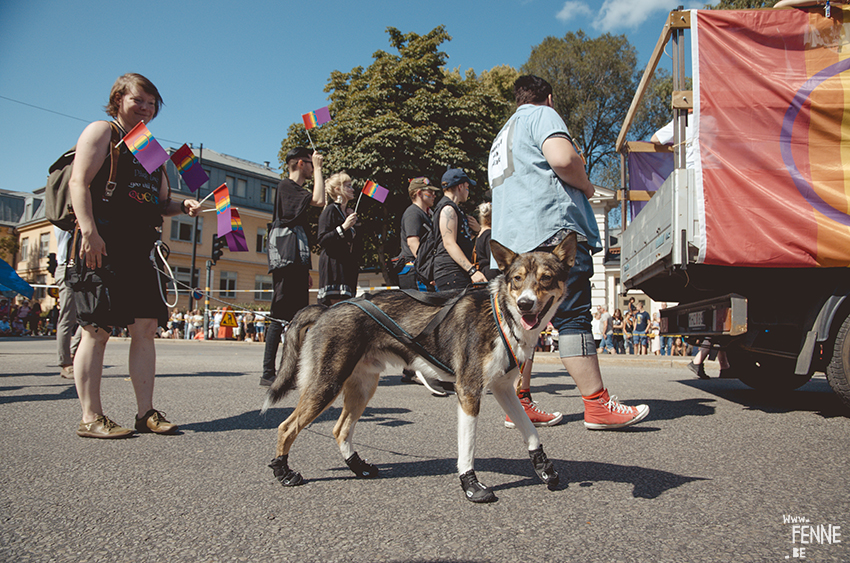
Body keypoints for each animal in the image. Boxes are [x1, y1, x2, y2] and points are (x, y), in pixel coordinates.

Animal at [258, 231, 576, 504]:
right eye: (517, 279)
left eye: (546, 278)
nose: (525, 304)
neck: (501, 315)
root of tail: (327, 308)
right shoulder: (468, 391)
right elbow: (468, 447)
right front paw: (471, 485)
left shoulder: (502, 389)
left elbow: (530, 431)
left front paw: (544, 467)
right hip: (327, 384)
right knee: (287, 427)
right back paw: (283, 472)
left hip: (362, 388)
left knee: (340, 429)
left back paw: (358, 466)